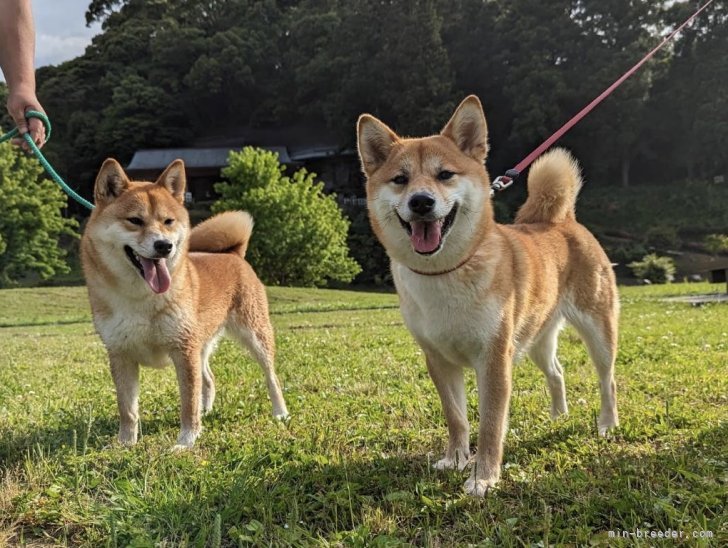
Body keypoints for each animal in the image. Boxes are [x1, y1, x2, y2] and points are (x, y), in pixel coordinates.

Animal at [81, 159, 288, 450]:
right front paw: (125, 443)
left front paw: (187, 442)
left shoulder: (183, 350)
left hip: (254, 334)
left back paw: (280, 412)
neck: (140, 297)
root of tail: (233, 254)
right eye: (135, 221)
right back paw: (207, 411)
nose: (164, 245)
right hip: (201, 342)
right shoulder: (121, 354)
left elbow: (188, 402)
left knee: (271, 376)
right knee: (209, 378)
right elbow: (128, 409)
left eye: (168, 221)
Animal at [356, 96, 616, 494]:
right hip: (536, 339)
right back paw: (558, 417)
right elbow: (457, 418)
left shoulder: (493, 358)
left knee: (607, 379)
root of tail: (561, 221)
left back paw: (606, 424)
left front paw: (484, 477)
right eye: (400, 180)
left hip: (597, 330)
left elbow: (491, 424)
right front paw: (455, 459)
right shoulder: (438, 359)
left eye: (445, 174)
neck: (445, 274)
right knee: (556, 373)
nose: (421, 201)